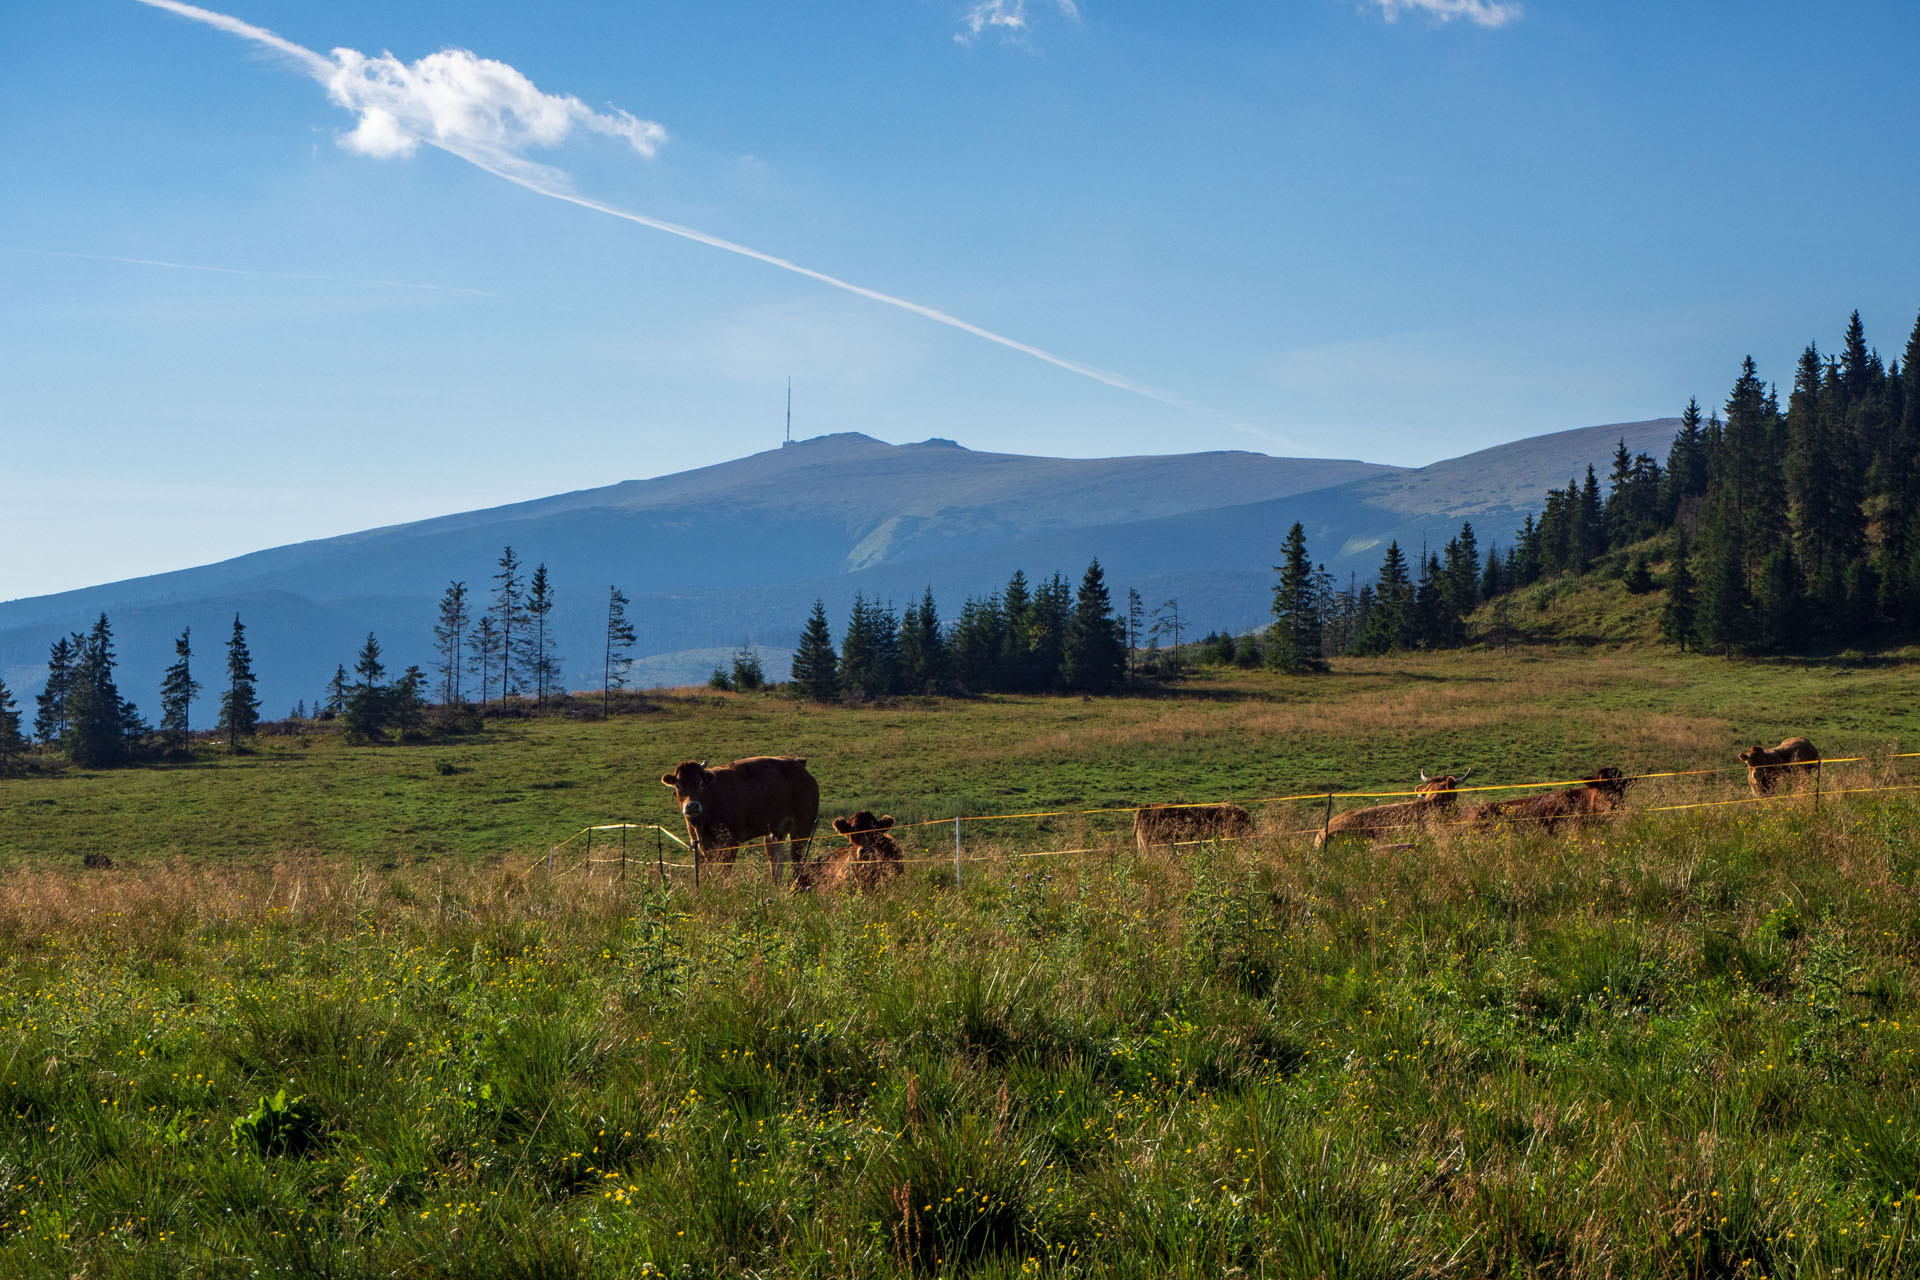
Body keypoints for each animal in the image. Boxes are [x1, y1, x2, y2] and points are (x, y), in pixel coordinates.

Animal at [660, 756, 817, 886]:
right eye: (678, 785)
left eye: (701, 783)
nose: (692, 805)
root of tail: (799, 764)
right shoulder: (698, 844)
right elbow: (704, 871)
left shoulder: (731, 841)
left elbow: (725, 870)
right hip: (775, 833)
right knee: (776, 861)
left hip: (802, 829)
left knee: (796, 860)